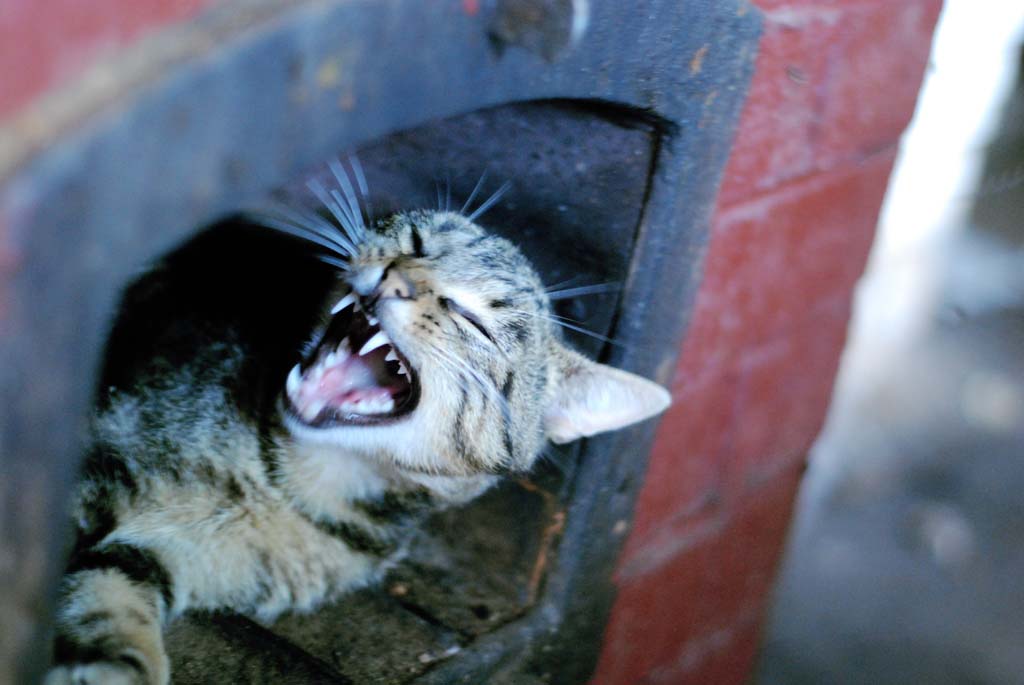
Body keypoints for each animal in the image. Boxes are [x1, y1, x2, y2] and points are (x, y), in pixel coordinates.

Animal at [45, 161, 670, 685]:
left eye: (472, 320)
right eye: (416, 241)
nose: (396, 276)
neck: (287, 482)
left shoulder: (168, 555)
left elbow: (109, 604)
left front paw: (109, 670)